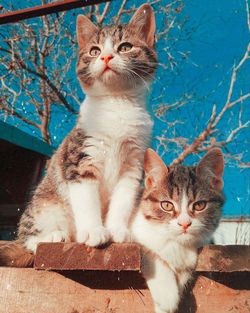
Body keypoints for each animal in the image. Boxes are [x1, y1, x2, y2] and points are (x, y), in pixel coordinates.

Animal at [0, 3, 156, 264]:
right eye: (94, 51)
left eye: (125, 47)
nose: (105, 56)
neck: (116, 103)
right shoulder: (79, 158)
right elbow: (86, 200)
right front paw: (94, 231)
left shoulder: (133, 165)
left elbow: (123, 200)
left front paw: (117, 230)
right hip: (45, 205)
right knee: (26, 238)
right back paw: (52, 236)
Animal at [131, 147, 225, 312]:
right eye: (167, 205)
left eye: (199, 205)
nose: (184, 223)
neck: (176, 244)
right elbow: (148, 251)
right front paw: (166, 295)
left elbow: (185, 271)